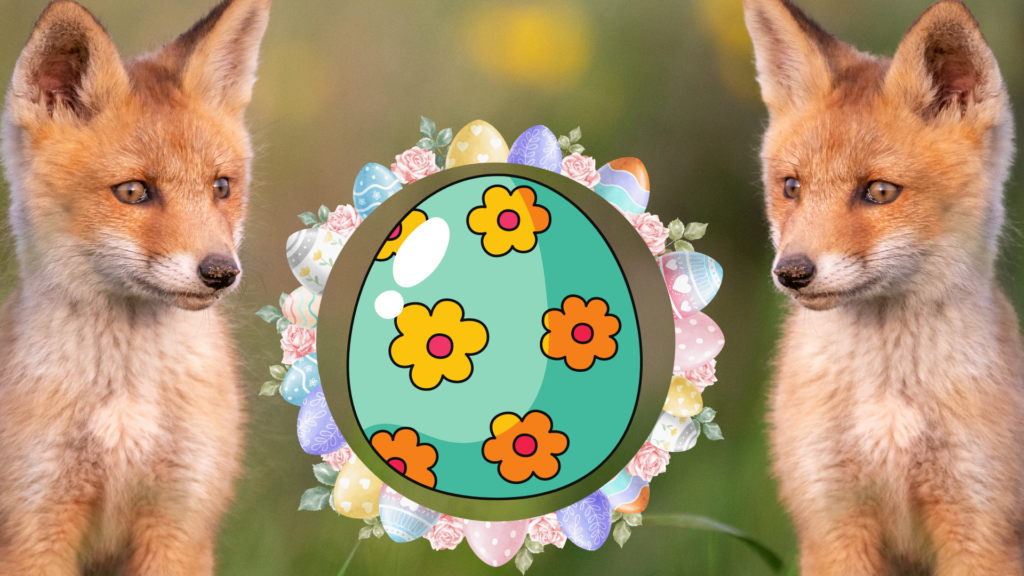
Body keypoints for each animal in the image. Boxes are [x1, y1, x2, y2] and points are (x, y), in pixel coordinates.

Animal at [0, 0, 269, 574]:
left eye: (221, 187)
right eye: (132, 192)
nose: (221, 271)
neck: (125, 405)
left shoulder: (180, 521)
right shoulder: (33, 527)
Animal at [743, 0, 1022, 574]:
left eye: (879, 192)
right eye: (791, 187)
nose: (792, 272)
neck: (888, 406)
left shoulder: (983, 526)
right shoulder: (832, 521)